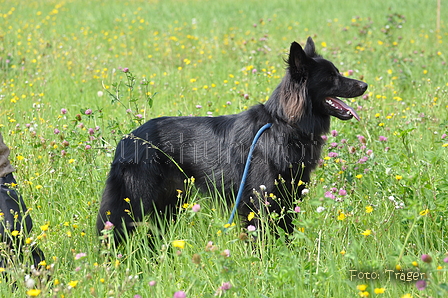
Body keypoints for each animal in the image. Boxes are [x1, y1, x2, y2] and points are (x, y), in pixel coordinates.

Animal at [96, 37, 366, 242]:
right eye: (331, 76)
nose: (365, 85)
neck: (283, 124)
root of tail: (128, 138)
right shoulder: (260, 201)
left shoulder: (288, 198)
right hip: (135, 202)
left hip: (168, 205)